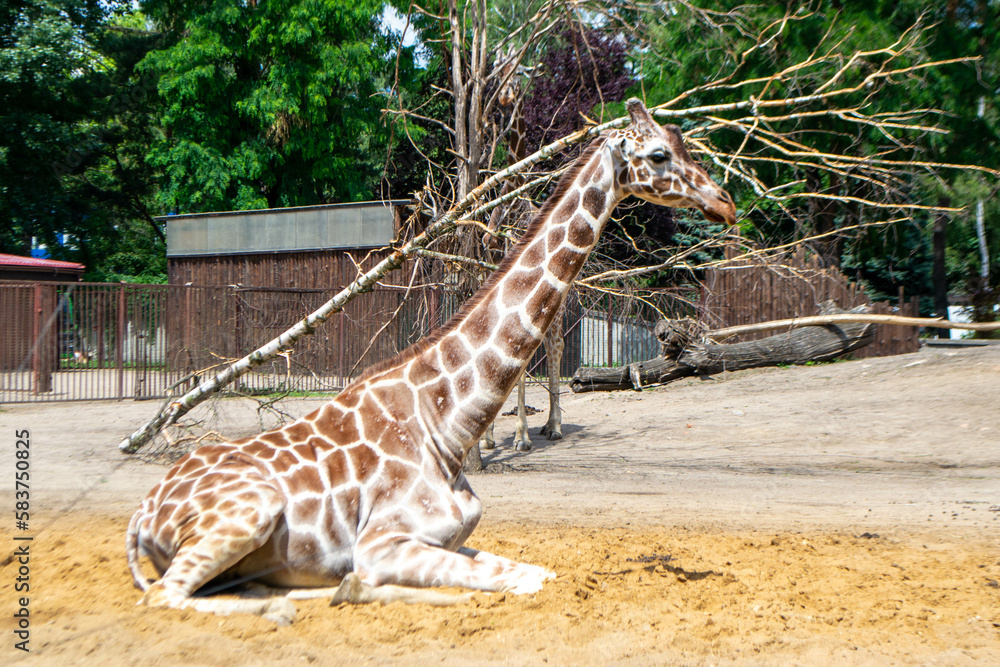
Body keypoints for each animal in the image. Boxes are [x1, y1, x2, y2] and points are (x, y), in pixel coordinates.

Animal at [126, 99, 736, 623]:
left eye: (681, 143)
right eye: (657, 155)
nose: (725, 203)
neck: (447, 424)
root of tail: (143, 511)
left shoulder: (452, 539)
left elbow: (536, 572)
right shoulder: (382, 543)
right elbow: (518, 580)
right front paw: (359, 588)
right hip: (246, 514)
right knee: (164, 596)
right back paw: (297, 603)